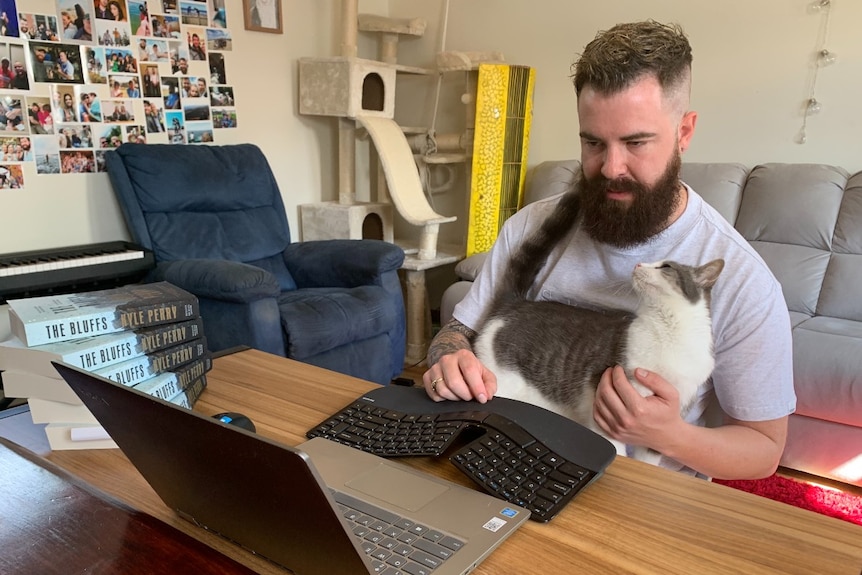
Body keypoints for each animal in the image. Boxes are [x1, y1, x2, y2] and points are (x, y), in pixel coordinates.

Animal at [476, 191, 724, 466]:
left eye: (666, 267)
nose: (639, 265)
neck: (670, 333)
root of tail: (517, 303)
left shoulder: (662, 423)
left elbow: (647, 461)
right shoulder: (608, 406)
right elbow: (615, 449)